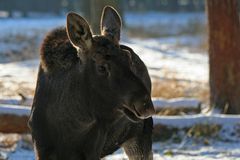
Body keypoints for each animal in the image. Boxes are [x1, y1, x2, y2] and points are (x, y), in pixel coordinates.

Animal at [28, 5, 156, 159]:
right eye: (101, 67)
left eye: (129, 59)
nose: (146, 105)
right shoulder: (42, 150)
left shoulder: (92, 150)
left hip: (140, 135)